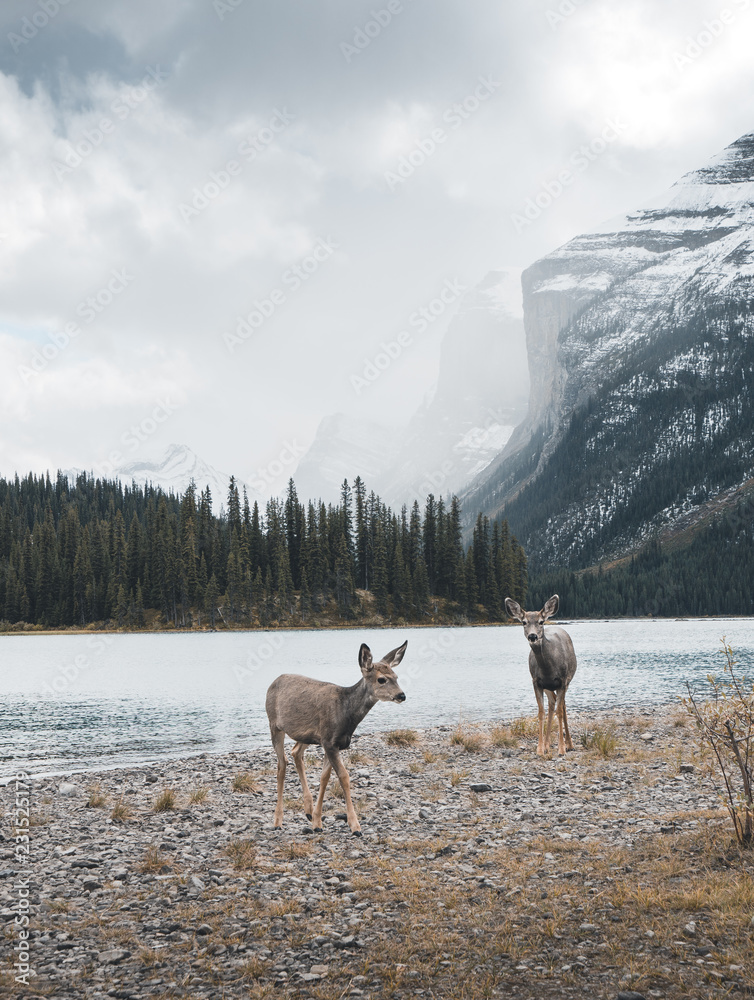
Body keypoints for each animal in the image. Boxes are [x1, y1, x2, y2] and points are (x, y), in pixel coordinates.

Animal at [265, 639, 407, 835]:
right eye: (381, 679)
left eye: (396, 676)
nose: (402, 695)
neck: (345, 712)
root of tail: (273, 682)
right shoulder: (329, 742)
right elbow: (344, 777)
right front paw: (355, 826)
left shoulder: (331, 743)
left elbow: (324, 778)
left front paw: (317, 822)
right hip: (274, 725)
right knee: (281, 765)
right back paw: (278, 821)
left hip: (305, 735)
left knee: (295, 753)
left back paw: (308, 811)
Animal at [504, 595, 577, 756]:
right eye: (524, 622)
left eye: (541, 621)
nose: (532, 636)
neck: (548, 668)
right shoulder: (536, 681)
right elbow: (541, 712)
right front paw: (539, 748)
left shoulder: (562, 681)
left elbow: (560, 711)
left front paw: (561, 749)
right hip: (548, 686)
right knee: (552, 703)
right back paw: (547, 745)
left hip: (567, 680)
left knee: (562, 706)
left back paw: (569, 744)